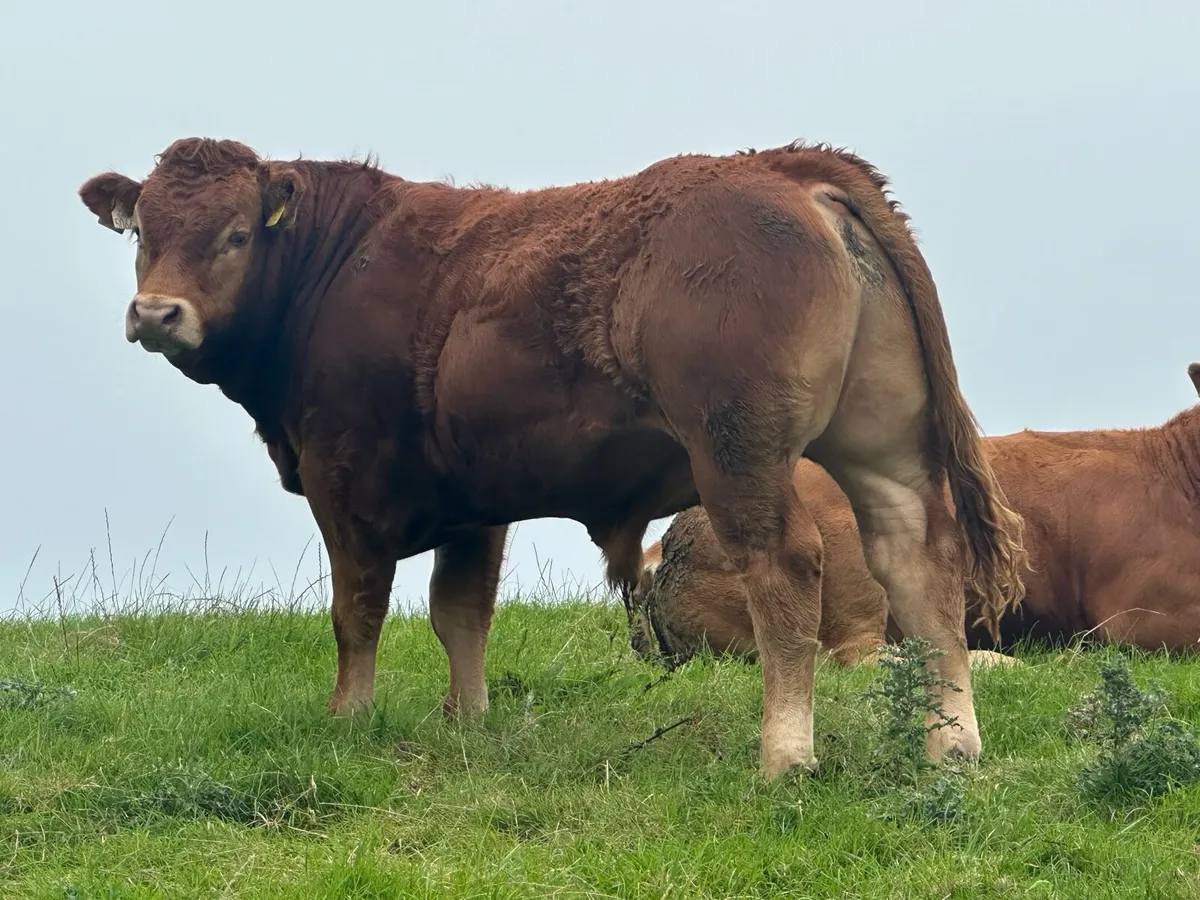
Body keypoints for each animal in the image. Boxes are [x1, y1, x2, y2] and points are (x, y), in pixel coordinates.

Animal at [78, 136, 1026, 778]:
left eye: (236, 234)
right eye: (142, 231)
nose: (156, 313)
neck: (339, 266)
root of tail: (786, 167)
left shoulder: (344, 483)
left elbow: (358, 612)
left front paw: (349, 718)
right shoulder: (474, 503)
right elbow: (461, 613)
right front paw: (467, 720)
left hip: (740, 453)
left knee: (787, 570)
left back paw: (786, 756)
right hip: (882, 447)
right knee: (918, 560)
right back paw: (952, 745)